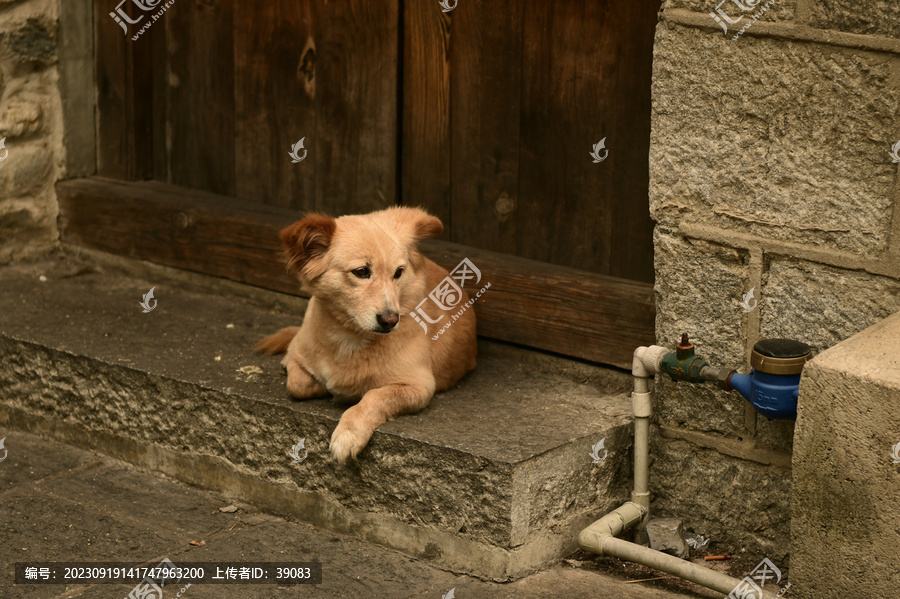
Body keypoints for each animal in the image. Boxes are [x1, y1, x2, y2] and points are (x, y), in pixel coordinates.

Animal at [255, 207, 478, 464]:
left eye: (398, 273)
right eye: (361, 271)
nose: (391, 319)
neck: (350, 336)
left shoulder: (419, 386)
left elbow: (374, 396)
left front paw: (349, 432)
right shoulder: (301, 354)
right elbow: (297, 384)